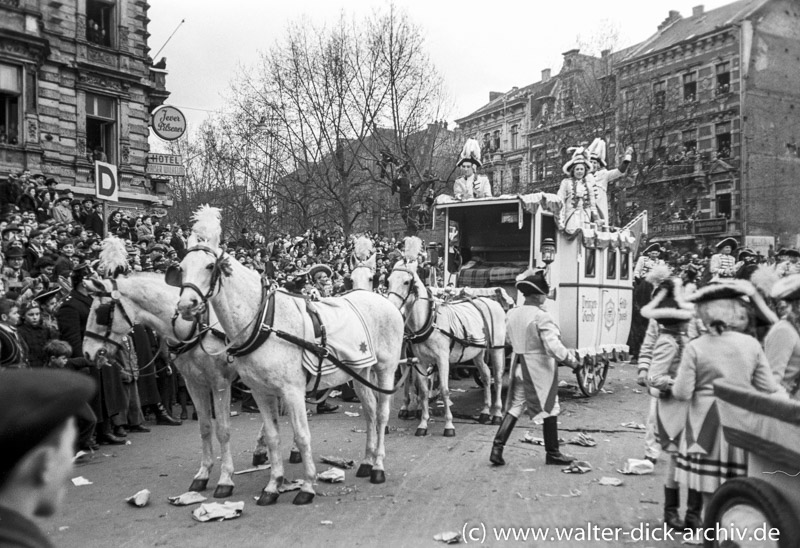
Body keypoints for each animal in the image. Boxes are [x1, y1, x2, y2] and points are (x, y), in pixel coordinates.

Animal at [82, 240, 268, 496]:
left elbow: (222, 430)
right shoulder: (193, 383)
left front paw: (225, 478)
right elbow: (205, 427)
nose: (87, 353)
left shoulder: (219, 383)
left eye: (100, 313)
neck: (195, 326)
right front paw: (203, 474)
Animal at [172, 207, 404, 506]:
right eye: (181, 268)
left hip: (386, 369)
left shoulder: (292, 391)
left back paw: (378, 466)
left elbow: (302, 436)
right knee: (370, 412)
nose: (185, 306)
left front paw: (307, 486)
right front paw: (273, 485)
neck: (264, 321)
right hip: (360, 372)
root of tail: (379, 298)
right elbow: (272, 436)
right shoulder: (260, 392)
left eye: (209, 266)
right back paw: (366, 461)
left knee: (382, 414)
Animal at [384, 235, 504, 436]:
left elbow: (445, 390)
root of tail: (489, 301)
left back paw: (497, 414)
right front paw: (422, 423)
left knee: (499, 378)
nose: (391, 307)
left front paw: (449, 425)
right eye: (389, 280)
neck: (428, 321)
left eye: (407, 282)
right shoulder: (420, 360)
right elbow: (423, 390)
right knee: (487, 376)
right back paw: (485, 412)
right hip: (478, 352)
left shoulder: (442, 359)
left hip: (497, 350)